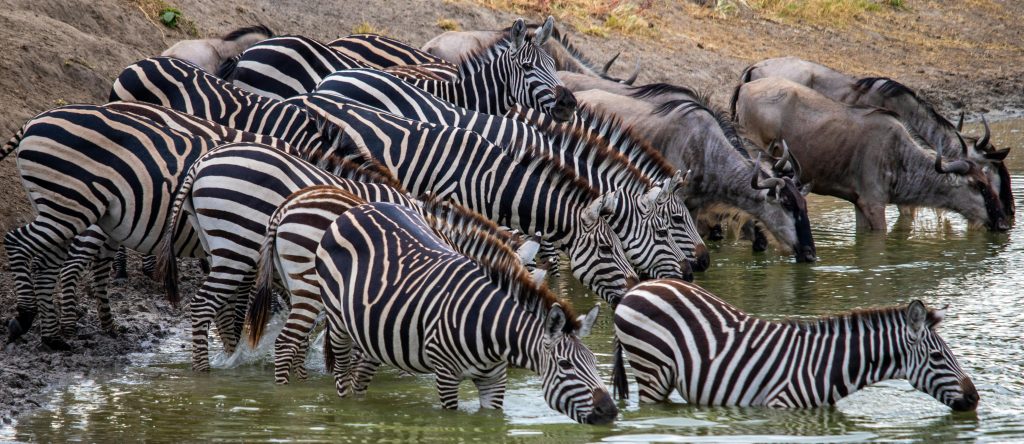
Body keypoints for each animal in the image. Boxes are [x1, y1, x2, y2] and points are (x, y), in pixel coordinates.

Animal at [316, 201, 617, 424]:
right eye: (566, 365)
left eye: (593, 362)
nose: (611, 411)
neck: (491, 328)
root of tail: (357, 209)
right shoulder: (445, 375)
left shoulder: (495, 379)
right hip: (338, 322)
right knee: (342, 379)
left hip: (371, 331)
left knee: (359, 378)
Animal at [612, 279, 980, 412]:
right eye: (937, 356)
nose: (975, 399)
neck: (829, 366)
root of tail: (640, 286)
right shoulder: (781, 406)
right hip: (652, 371)